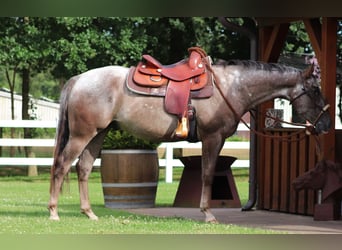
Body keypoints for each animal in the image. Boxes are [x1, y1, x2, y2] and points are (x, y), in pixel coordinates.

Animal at [48, 55, 332, 223]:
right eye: (315, 90)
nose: (327, 124)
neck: (231, 86)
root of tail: (79, 79)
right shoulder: (213, 138)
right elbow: (207, 174)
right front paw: (208, 214)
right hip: (83, 134)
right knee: (62, 167)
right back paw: (53, 212)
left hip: (98, 133)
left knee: (83, 168)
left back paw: (89, 213)